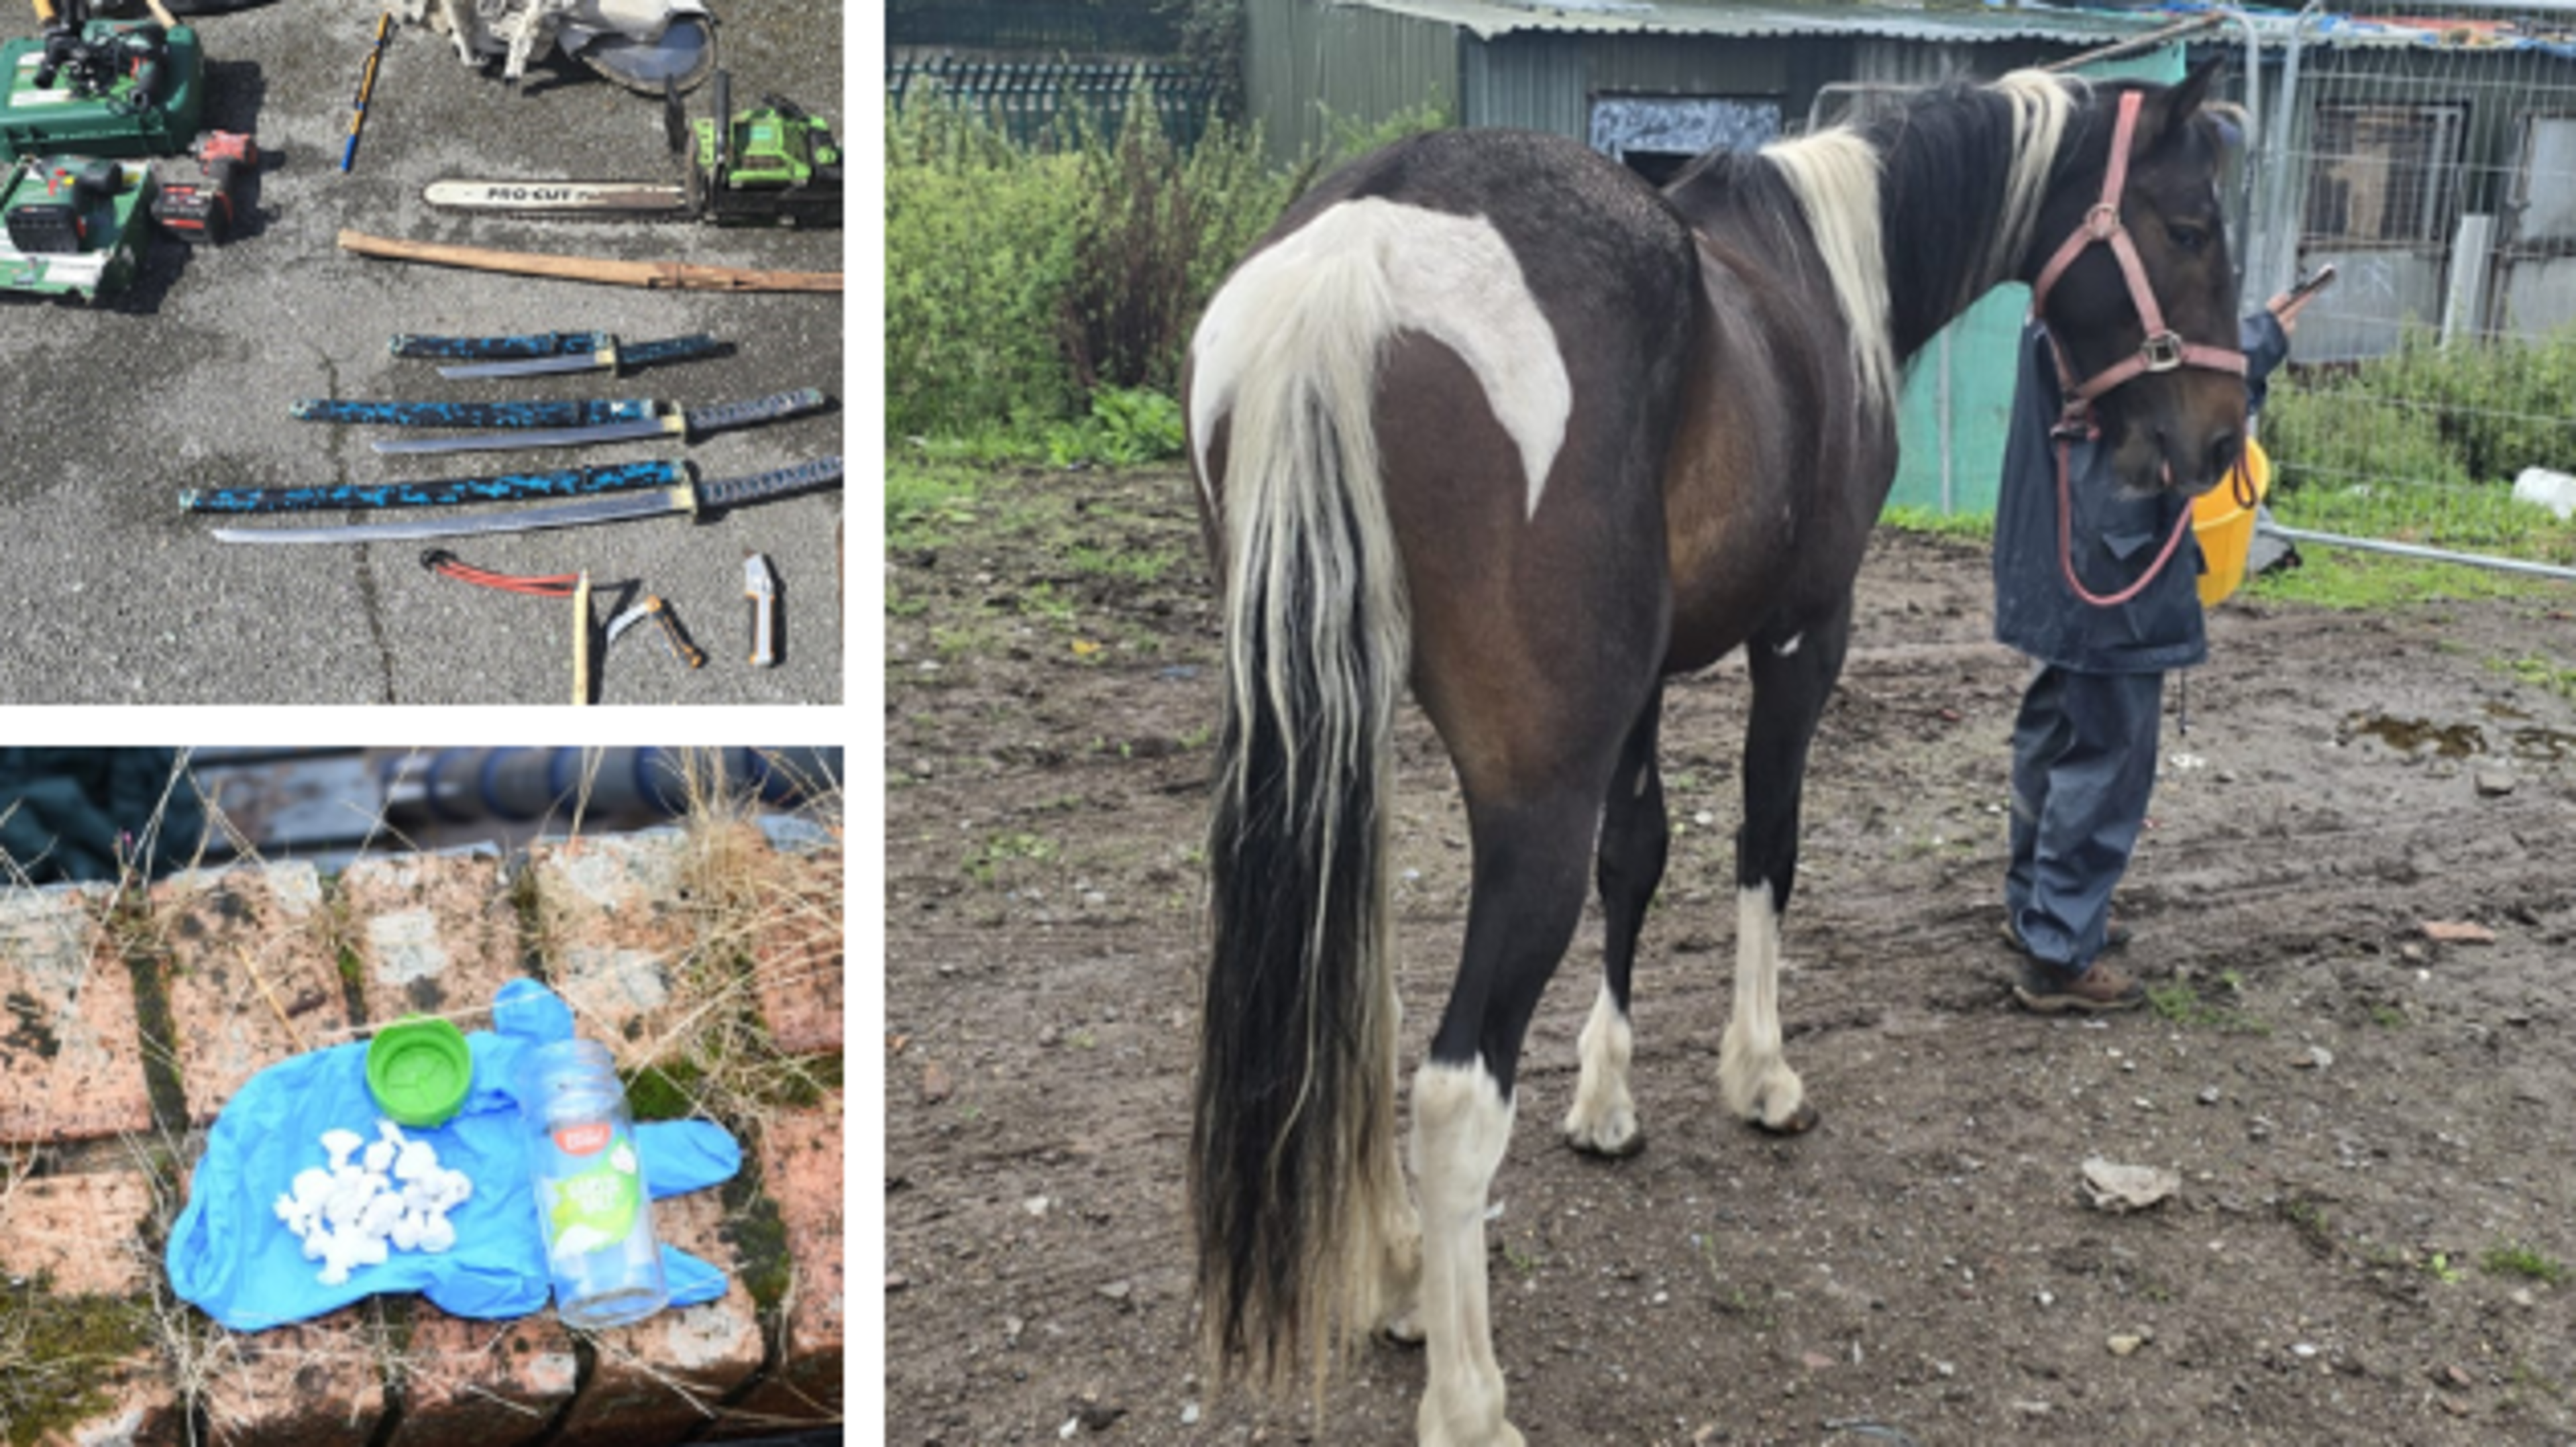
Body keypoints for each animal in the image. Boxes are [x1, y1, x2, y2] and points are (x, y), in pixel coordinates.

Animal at [1182, 63, 2245, 1444]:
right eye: (2191, 228)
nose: (2219, 439)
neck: (1821, 265)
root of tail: (1358, 258)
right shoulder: (1805, 635)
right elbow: (1764, 844)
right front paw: (1761, 1074)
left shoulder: (1642, 686)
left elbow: (1637, 858)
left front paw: (1606, 1102)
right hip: (1530, 797)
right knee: (1456, 1088)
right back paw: (1467, 1391)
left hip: (1340, 743)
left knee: (1367, 1006)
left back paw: (1401, 1273)